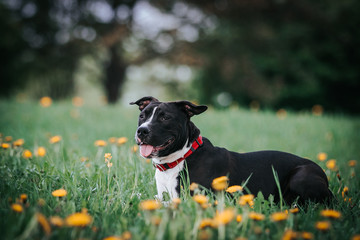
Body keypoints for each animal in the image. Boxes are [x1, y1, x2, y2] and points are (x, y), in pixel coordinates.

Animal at [130, 96, 332, 203]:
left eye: (165, 117)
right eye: (142, 116)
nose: (142, 131)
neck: (181, 157)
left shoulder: (200, 200)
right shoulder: (162, 194)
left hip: (301, 176)